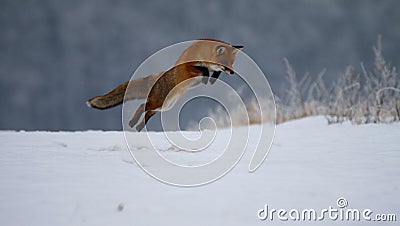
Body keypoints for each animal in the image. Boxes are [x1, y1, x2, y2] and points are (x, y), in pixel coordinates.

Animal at [86, 38, 244, 131]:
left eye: (232, 63)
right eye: (225, 63)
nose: (232, 73)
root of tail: (157, 77)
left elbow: (213, 75)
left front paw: (211, 79)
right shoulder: (187, 67)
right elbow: (201, 69)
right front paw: (206, 76)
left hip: (164, 106)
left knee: (147, 112)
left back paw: (138, 127)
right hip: (160, 103)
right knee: (142, 106)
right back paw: (133, 123)